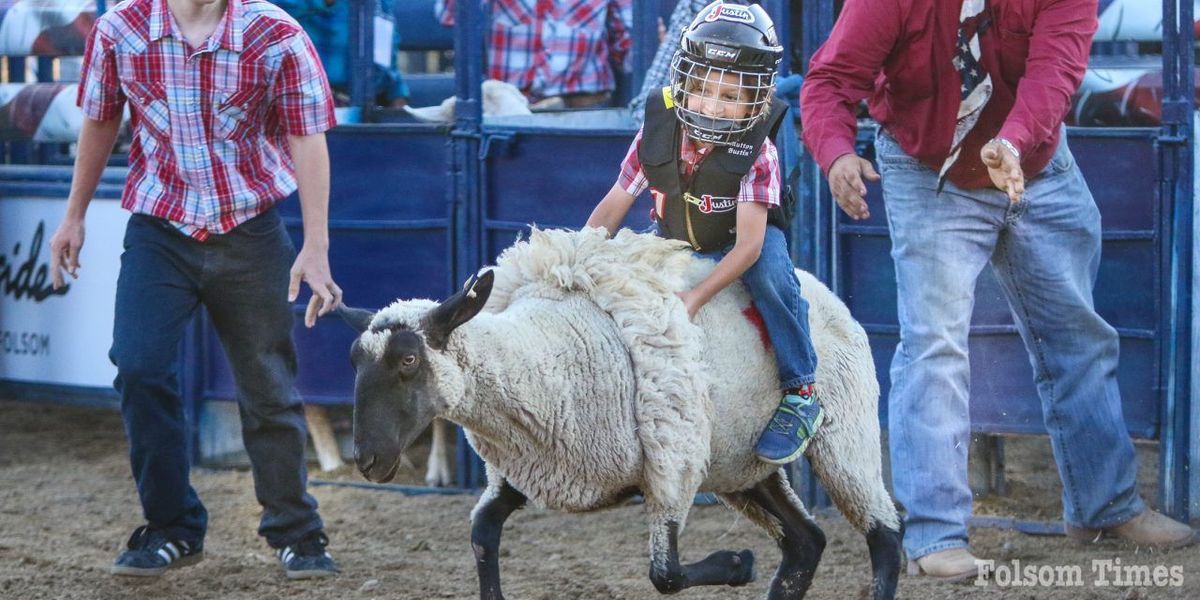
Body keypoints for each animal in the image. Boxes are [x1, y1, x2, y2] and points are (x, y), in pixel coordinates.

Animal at [340, 228, 902, 600]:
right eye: (353, 361)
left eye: (408, 360)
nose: (365, 459)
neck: (548, 355)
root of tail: (822, 290)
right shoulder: (530, 469)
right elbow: (482, 536)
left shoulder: (670, 469)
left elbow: (666, 574)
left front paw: (738, 564)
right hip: (741, 464)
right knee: (806, 542)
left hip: (844, 433)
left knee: (884, 532)